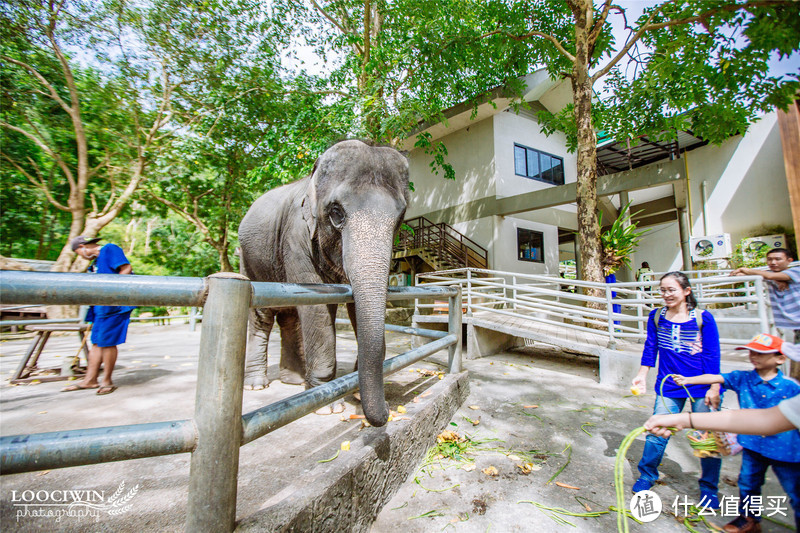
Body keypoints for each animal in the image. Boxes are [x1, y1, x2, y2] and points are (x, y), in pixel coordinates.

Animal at [238, 139, 410, 426]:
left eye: (400, 218)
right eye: (336, 213)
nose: (387, 408)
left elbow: (353, 306)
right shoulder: (296, 235)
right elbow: (317, 306)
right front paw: (328, 407)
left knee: (290, 317)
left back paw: (295, 382)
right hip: (249, 261)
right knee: (263, 317)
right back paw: (256, 385)